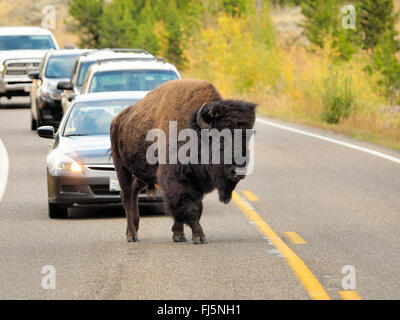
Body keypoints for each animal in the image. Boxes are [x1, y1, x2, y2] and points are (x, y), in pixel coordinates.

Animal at [111, 79, 256, 244]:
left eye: (247, 140)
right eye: (220, 140)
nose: (238, 172)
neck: (195, 132)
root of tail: (117, 119)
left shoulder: (196, 182)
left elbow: (193, 207)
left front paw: (179, 235)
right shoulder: (176, 179)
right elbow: (188, 206)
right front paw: (199, 236)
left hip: (143, 173)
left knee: (134, 191)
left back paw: (135, 226)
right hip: (121, 166)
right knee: (126, 195)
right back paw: (131, 234)